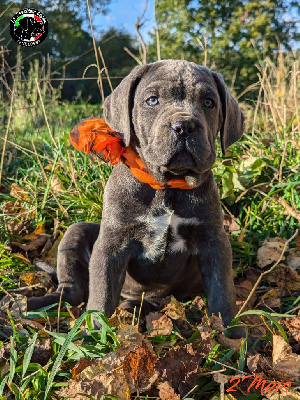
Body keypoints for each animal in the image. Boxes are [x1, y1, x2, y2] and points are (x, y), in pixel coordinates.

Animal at [27, 58, 244, 328]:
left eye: (208, 102)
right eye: (152, 100)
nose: (184, 126)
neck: (167, 186)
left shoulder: (214, 242)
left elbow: (222, 291)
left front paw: (231, 333)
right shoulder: (111, 245)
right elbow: (102, 293)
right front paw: (95, 331)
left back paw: (133, 308)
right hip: (75, 234)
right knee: (72, 292)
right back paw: (35, 304)